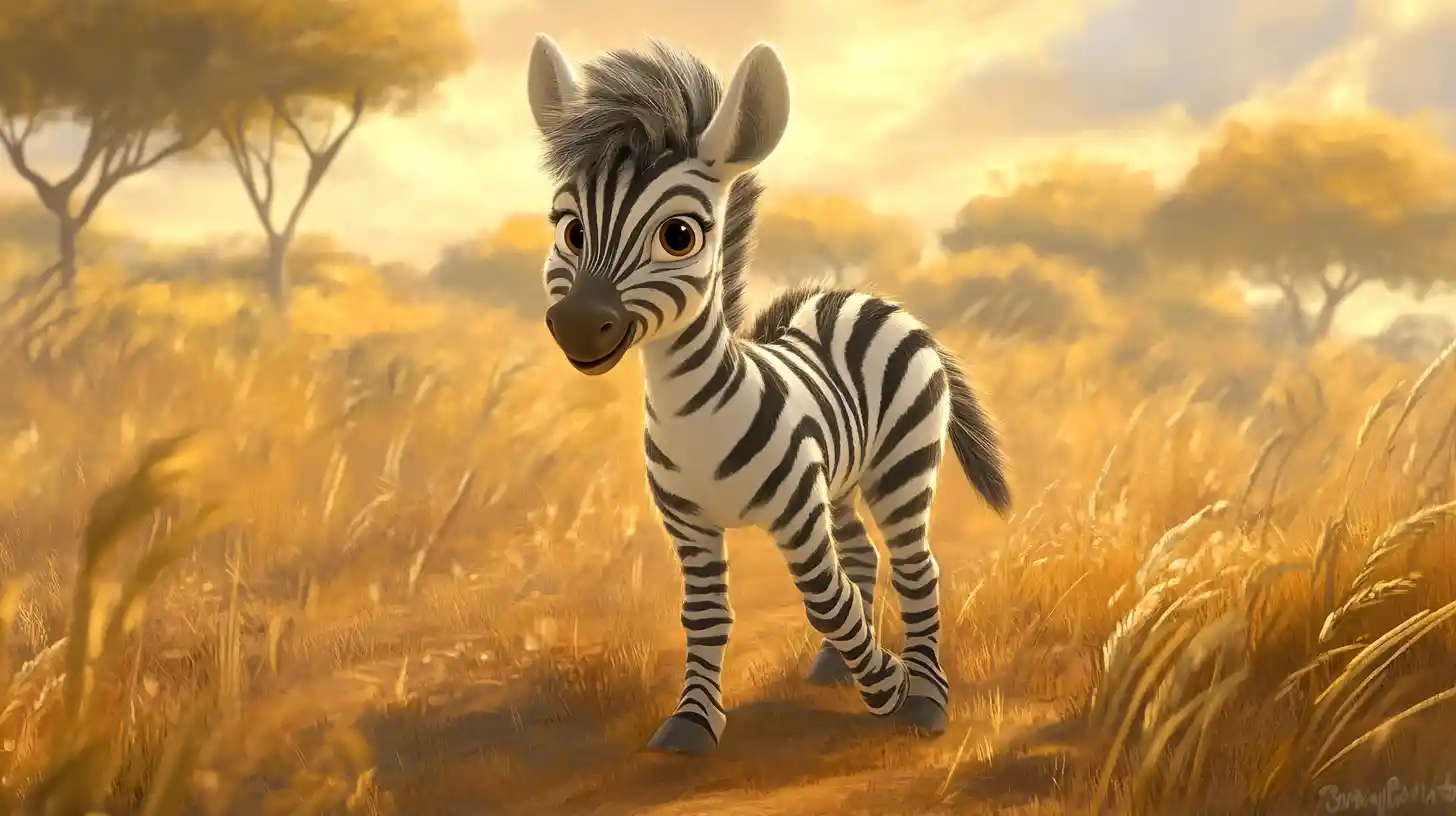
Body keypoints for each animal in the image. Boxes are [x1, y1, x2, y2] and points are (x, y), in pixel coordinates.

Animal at [526, 34, 1012, 755]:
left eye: (679, 235)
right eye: (571, 230)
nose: (581, 325)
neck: (693, 414)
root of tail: (863, 298)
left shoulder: (795, 512)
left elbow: (827, 601)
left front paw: (890, 686)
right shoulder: (689, 524)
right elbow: (705, 615)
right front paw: (694, 720)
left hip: (899, 466)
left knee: (914, 567)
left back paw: (925, 698)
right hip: (839, 478)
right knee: (863, 554)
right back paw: (837, 667)